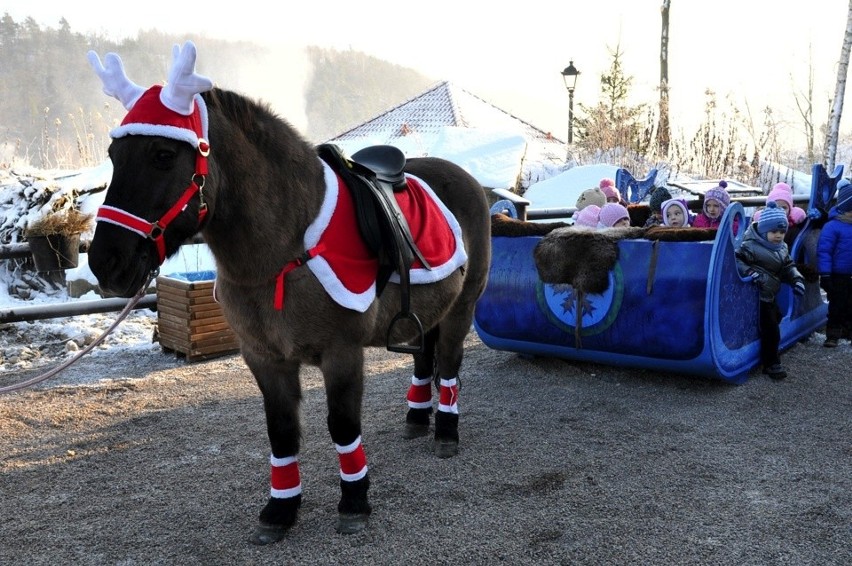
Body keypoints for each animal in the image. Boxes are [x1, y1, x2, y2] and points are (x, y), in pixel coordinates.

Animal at [87, 42, 492, 544]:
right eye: (114, 154)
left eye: (163, 154)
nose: (106, 262)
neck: (285, 249)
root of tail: (467, 179)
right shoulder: (264, 358)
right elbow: (281, 432)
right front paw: (281, 508)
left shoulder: (342, 353)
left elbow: (342, 426)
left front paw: (354, 500)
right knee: (424, 358)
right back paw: (418, 417)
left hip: (462, 307)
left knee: (450, 365)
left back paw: (446, 432)